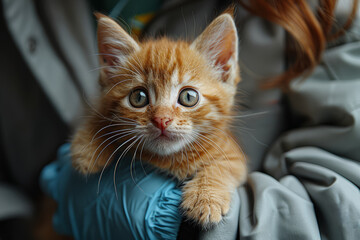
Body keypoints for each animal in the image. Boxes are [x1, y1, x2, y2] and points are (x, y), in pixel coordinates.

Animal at [72, 12, 249, 227]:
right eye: (138, 97)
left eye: (188, 97)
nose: (161, 120)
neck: (169, 159)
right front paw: (87, 147)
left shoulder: (233, 152)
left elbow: (225, 165)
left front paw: (205, 197)